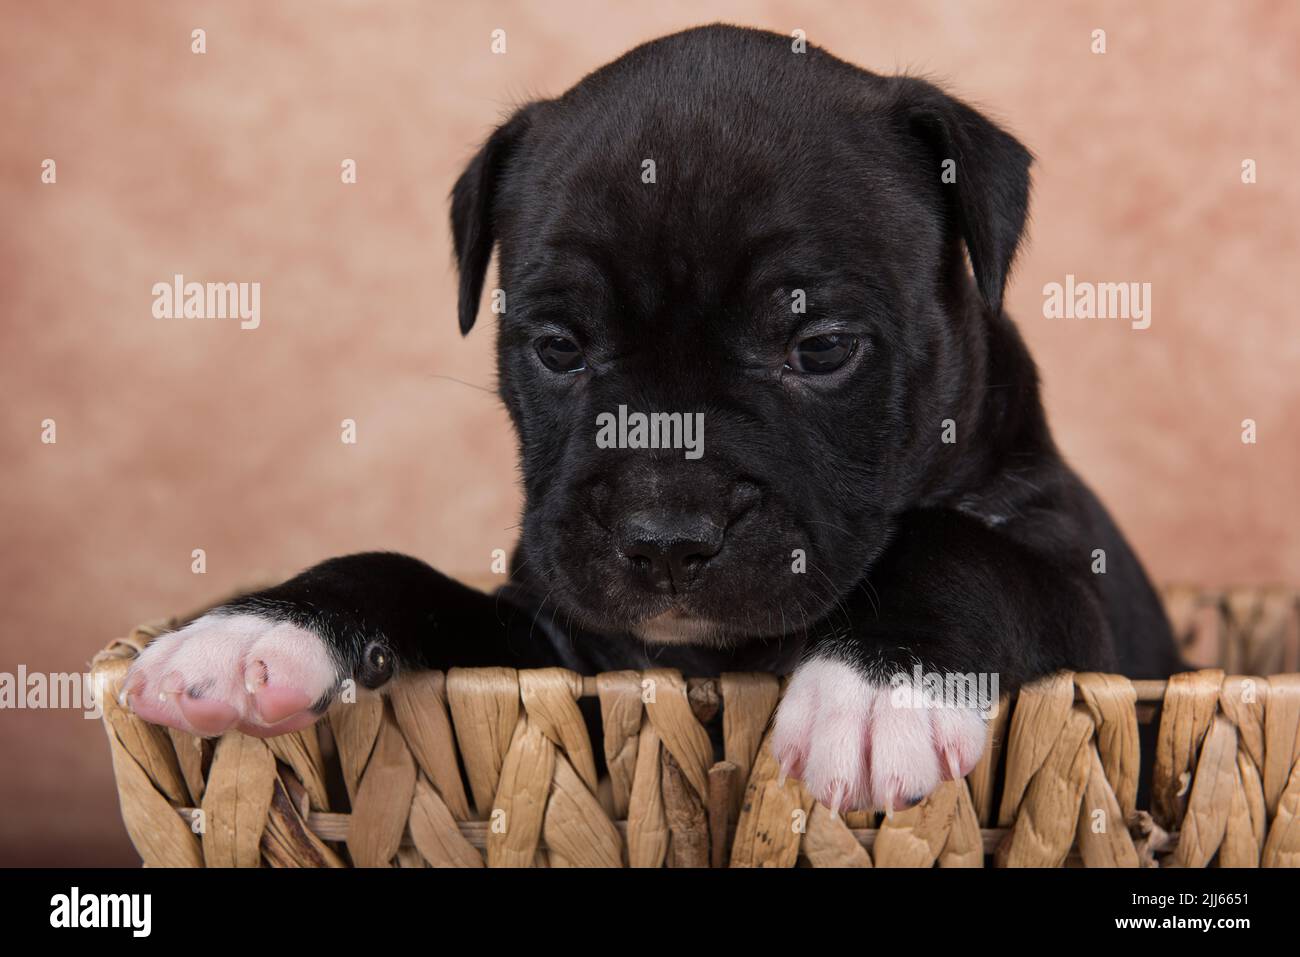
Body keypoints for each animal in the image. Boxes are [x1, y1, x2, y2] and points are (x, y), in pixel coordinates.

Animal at [126, 26, 1185, 811]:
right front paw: (257, 628)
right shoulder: (552, 661)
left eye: (821, 348)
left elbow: (960, 549)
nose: (667, 537)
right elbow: (403, 572)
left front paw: (876, 685)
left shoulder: (1083, 607)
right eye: (559, 348)